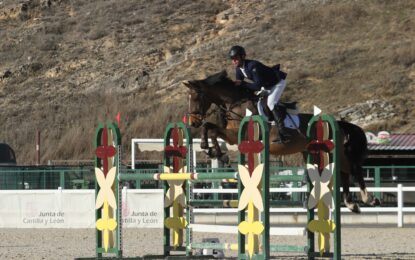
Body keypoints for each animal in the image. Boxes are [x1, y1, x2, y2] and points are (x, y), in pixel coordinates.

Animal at [184, 69, 380, 213]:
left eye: (196, 97)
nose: (193, 122)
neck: (236, 104)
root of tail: (338, 123)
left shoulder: (236, 135)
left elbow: (212, 129)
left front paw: (215, 152)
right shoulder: (232, 136)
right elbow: (210, 128)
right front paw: (212, 150)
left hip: (332, 151)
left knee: (353, 169)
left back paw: (368, 199)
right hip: (317, 152)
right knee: (345, 171)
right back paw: (351, 203)